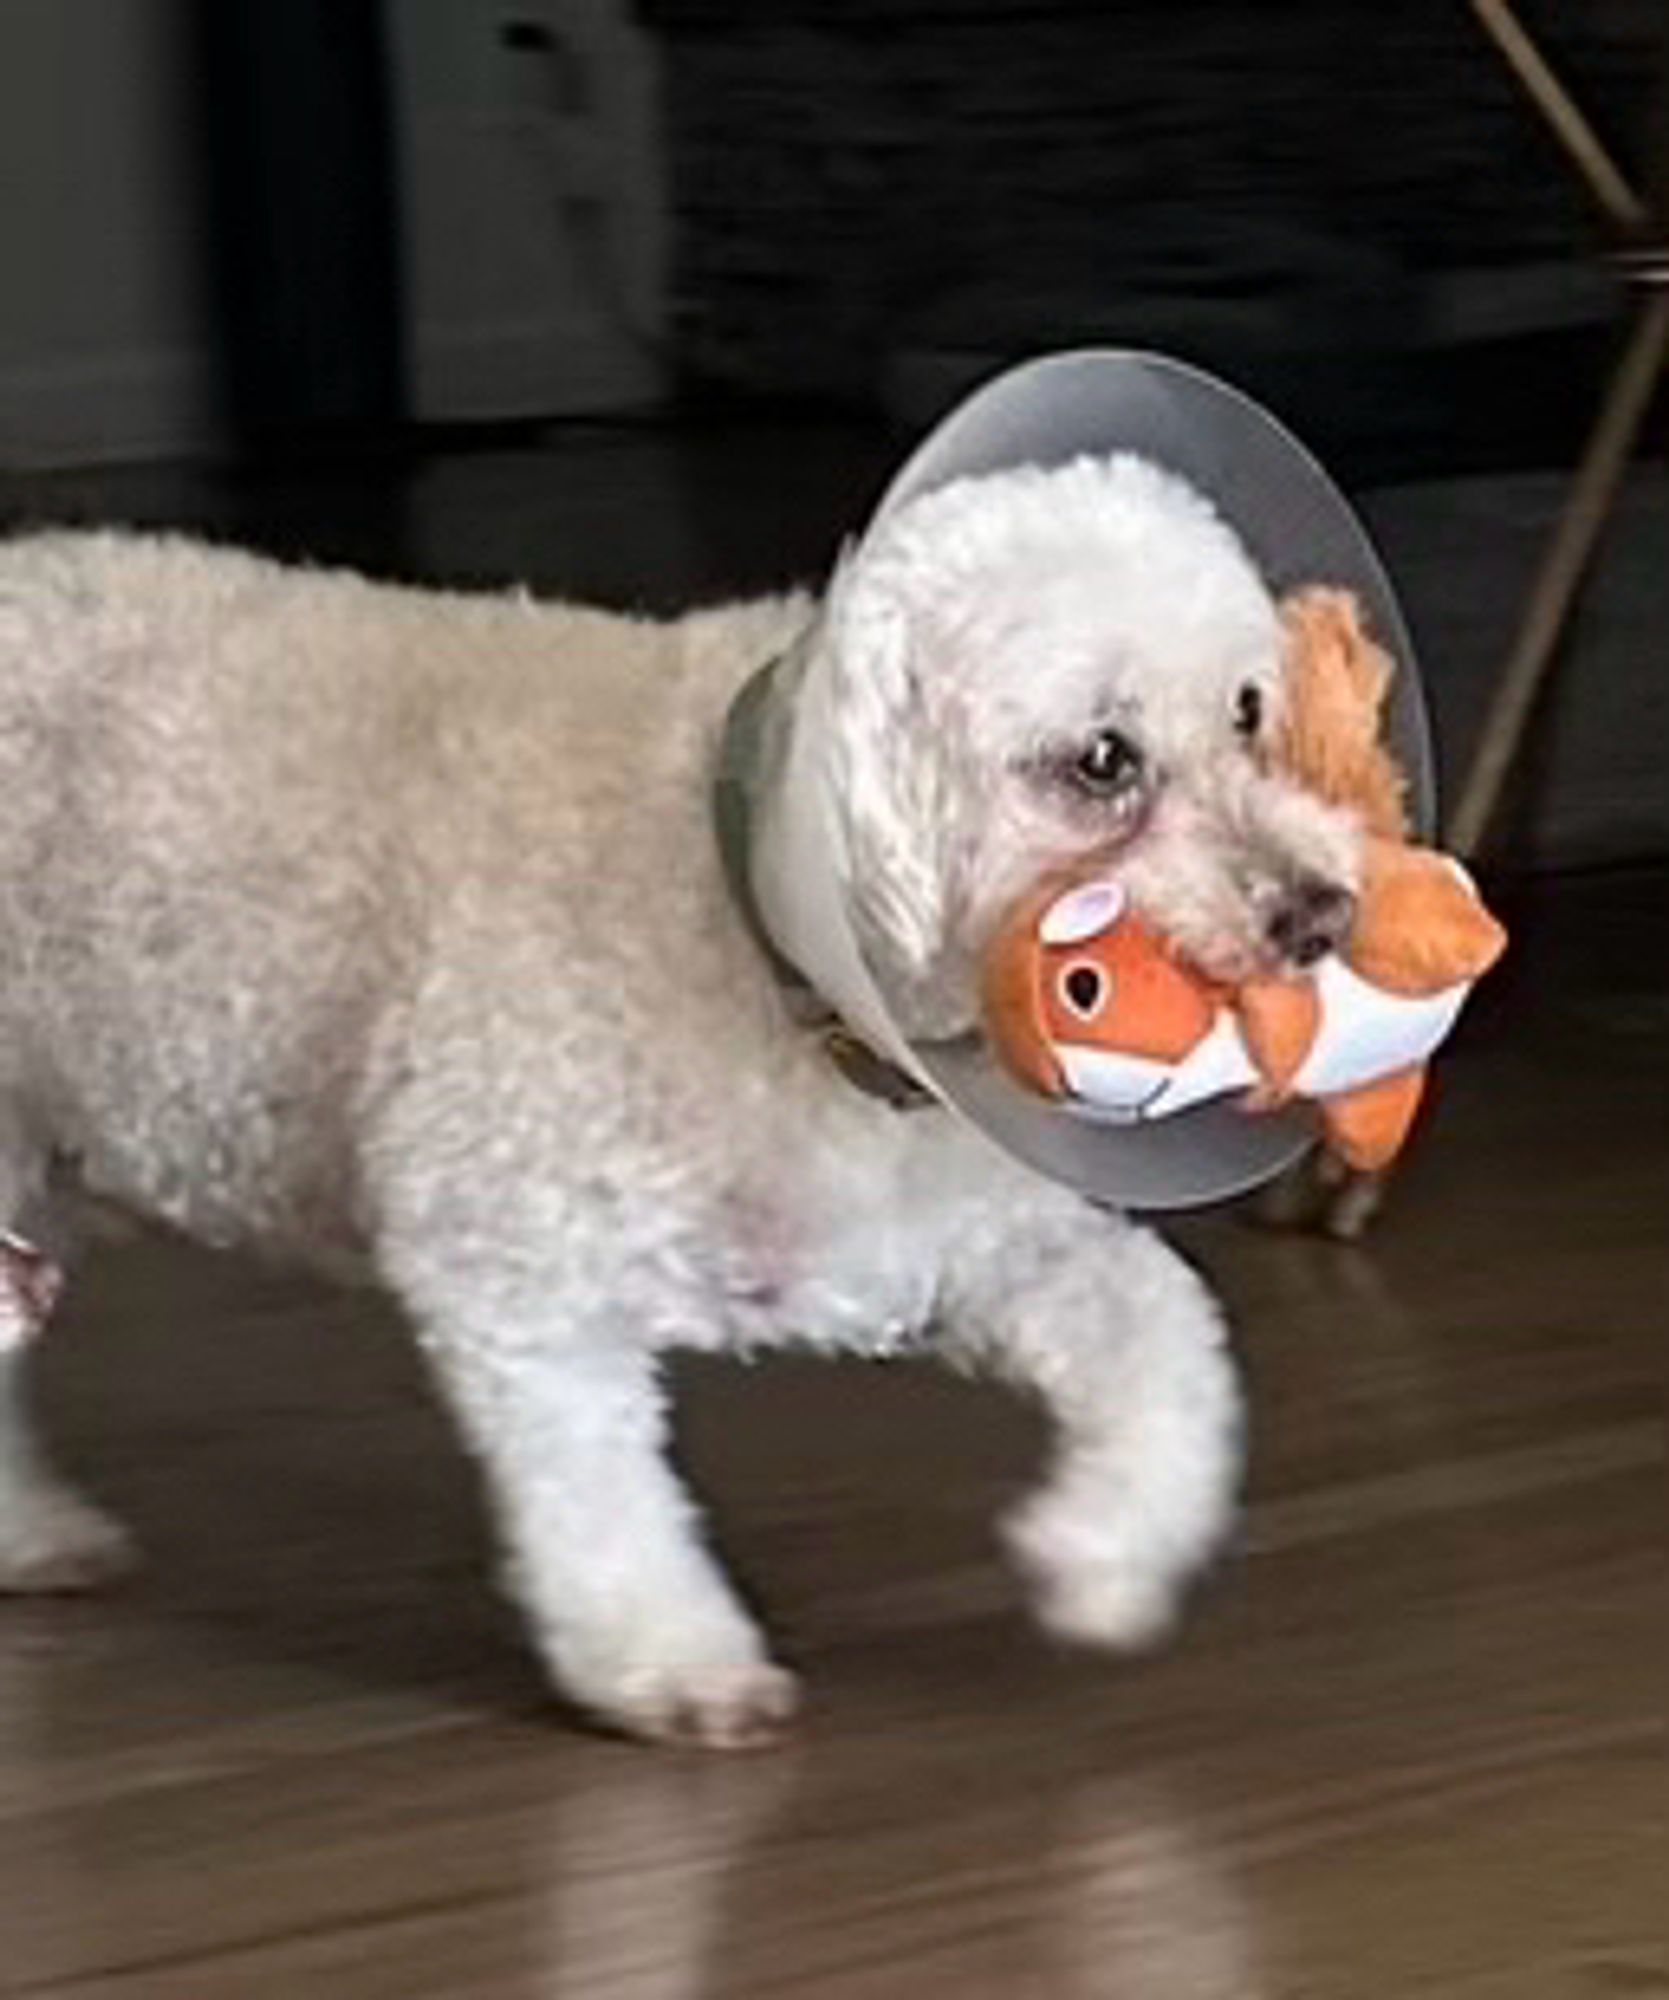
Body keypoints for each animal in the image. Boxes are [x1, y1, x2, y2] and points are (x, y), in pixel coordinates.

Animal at [0, 460, 1352, 1744]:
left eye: (1248, 710)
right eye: (1101, 759)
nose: (1323, 908)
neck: (758, 922)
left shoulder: (954, 1237)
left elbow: (1161, 1333)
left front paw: (1106, 1551)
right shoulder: (510, 1260)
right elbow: (595, 1490)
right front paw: (670, 1656)